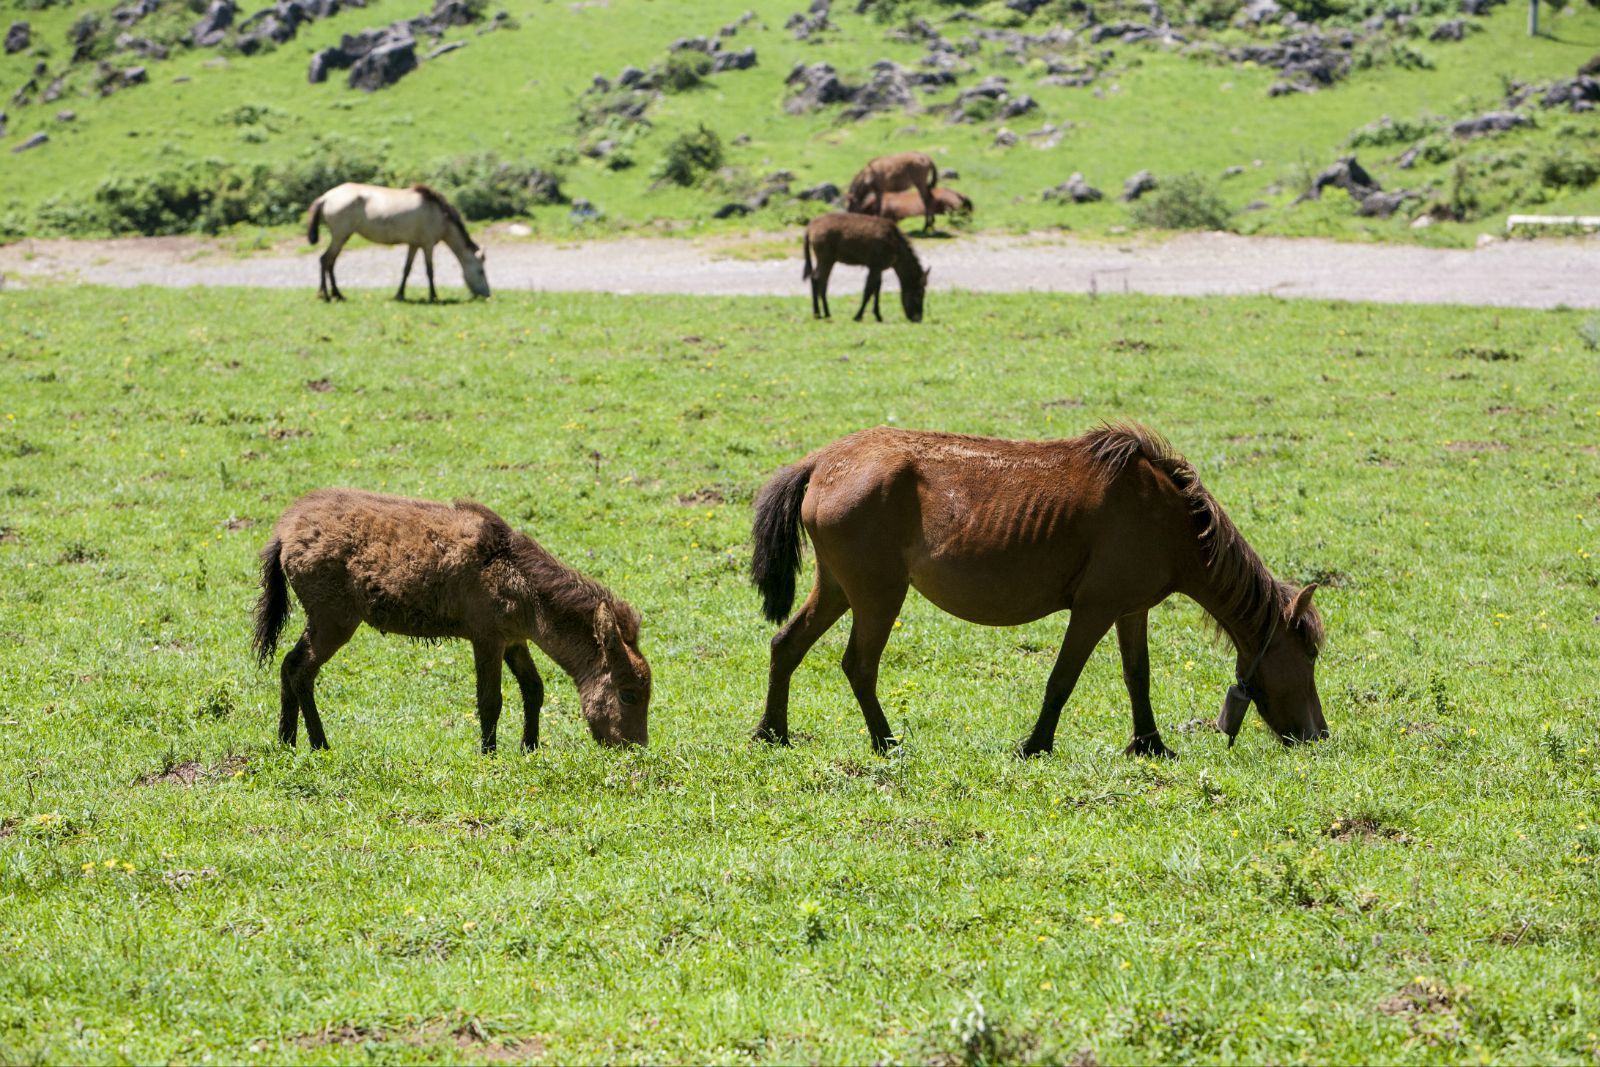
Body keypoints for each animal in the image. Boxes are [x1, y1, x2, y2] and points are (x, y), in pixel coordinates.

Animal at [254, 489, 649, 751]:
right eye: (628, 694)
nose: (636, 746)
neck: (519, 580)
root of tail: (283, 534)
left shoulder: (514, 640)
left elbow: (533, 689)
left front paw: (529, 748)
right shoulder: (486, 638)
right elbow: (490, 700)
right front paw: (489, 753)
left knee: (288, 665)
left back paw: (287, 740)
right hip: (332, 621)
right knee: (300, 669)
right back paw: (319, 743)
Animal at [305, 182, 489, 300]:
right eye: (481, 271)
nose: (488, 294)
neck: (440, 215)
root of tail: (325, 198)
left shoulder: (414, 244)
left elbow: (406, 269)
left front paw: (400, 294)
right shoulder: (428, 245)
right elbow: (430, 271)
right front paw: (433, 296)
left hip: (341, 237)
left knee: (330, 262)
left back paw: (337, 294)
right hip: (340, 236)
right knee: (325, 260)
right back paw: (325, 295)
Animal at [748, 425, 1324, 758]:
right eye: (1307, 656)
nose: (1319, 733)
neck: (1164, 515)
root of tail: (823, 462)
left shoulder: (1130, 610)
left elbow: (1138, 677)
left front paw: (1151, 745)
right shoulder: (1094, 609)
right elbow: (1061, 680)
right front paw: (1036, 744)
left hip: (838, 589)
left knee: (786, 646)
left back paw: (772, 732)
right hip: (878, 597)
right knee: (859, 666)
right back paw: (885, 742)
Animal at [806, 211, 934, 321]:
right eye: (919, 294)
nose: (918, 318)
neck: (896, 246)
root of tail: (810, 227)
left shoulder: (879, 267)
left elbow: (877, 288)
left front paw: (878, 315)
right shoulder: (875, 265)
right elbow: (869, 290)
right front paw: (858, 316)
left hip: (826, 258)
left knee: (817, 279)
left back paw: (821, 313)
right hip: (826, 257)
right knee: (818, 279)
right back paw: (821, 313)